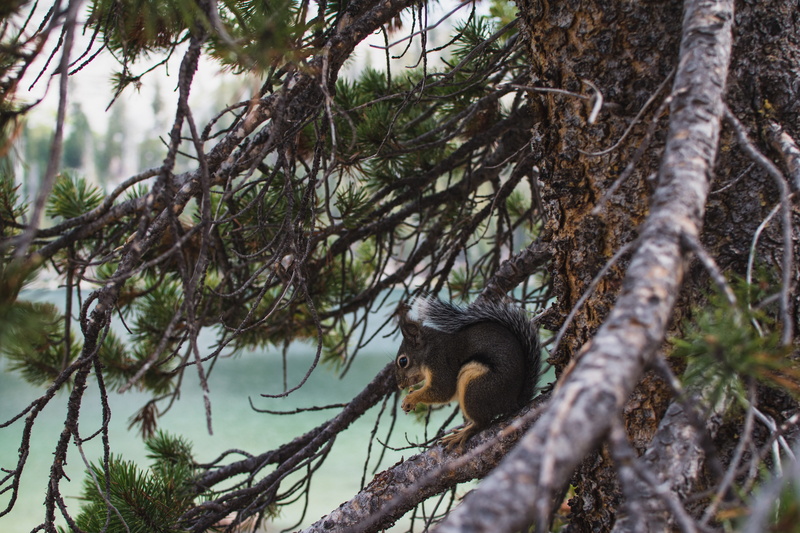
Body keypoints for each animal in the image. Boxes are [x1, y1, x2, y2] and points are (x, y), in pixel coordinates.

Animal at [394, 296, 541, 452]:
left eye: (403, 361)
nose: (400, 386)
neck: (430, 349)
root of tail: (513, 401)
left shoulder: (440, 363)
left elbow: (442, 390)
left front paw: (411, 398)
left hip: (476, 388)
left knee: (482, 422)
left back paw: (462, 434)